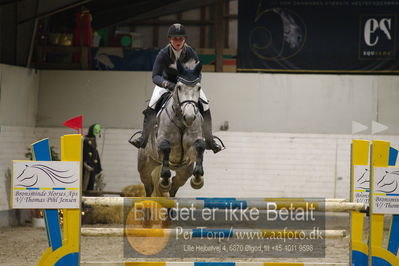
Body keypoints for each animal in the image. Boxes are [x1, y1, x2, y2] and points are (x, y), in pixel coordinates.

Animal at [138, 60, 206, 197]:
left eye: (198, 88)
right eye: (179, 87)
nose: (189, 117)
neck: (181, 121)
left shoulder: (191, 148)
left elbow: (200, 146)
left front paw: (197, 179)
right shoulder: (161, 143)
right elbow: (165, 148)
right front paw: (164, 181)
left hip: (185, 170)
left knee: (175, 184)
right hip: (144, 166)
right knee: (149, 186)